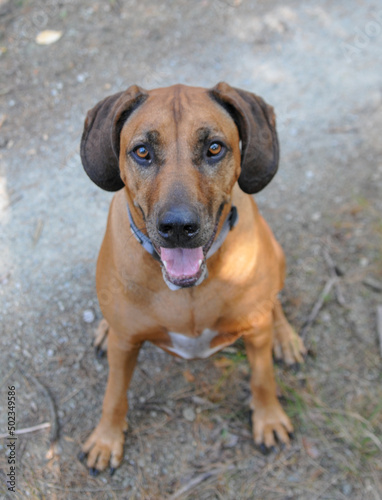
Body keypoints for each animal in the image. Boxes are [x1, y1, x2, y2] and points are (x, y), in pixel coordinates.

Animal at [79, 84, 306, 474]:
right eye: (142, 151)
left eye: (214, 148)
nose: (178, 227)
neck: (186, 291)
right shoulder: (125, 346)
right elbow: (114, 393)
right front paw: (106, 439)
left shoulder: (255, 331)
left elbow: (262, 379)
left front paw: (269, 418)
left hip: (276, 256)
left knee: (274, 302)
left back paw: (285, 337)